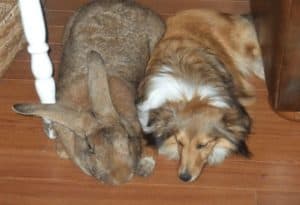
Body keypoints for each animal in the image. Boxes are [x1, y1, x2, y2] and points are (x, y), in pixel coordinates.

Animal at [137, 10, 264, 183]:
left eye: (203, 145)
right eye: (179, 142)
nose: (184, 177)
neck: (192, 96)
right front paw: (146, 160)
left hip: (246, 49)